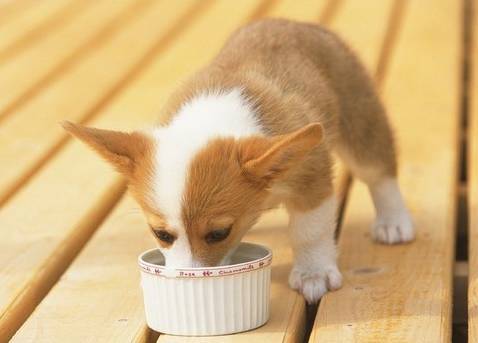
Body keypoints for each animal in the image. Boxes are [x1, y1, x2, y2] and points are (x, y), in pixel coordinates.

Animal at [63, 18, 414, 304]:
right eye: (161, 234)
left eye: (218, 233)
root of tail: (295, 23)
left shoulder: (311, 181)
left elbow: (310, 231)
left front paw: (313, 273)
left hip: (360, 120)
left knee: (379, 172)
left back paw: (393, 222)